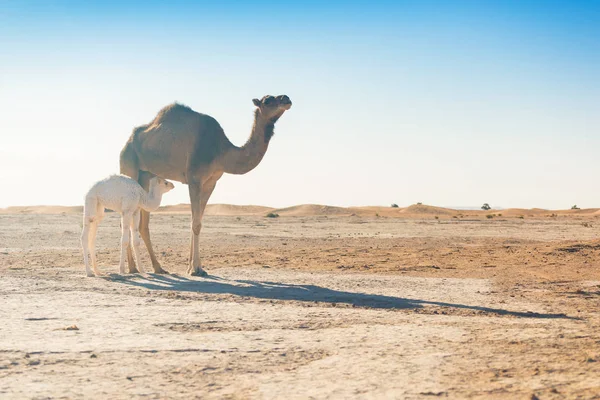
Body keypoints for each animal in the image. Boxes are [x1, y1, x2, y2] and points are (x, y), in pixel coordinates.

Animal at [118, 94, 292, 276]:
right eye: (267, 100)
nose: (286, 98)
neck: (221, 151)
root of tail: (126, 143)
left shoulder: (211, 182)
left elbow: (197, 220)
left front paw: (193, 267)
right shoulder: (194, 178)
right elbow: (196, 223)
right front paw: (196, 269)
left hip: (146, 177)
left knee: (142, 225)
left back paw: (157, 268)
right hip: (128, 165)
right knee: (126, 221)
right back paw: (132, 268)